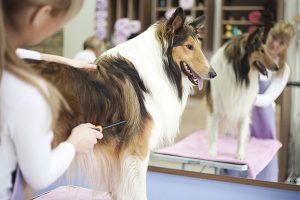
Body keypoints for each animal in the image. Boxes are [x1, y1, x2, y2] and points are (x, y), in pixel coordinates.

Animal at [31, 7, 217, 198]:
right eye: (189, 46)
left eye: (199, 45)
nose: (213, 74)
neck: (159, 66)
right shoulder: (137, 151)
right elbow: (139, 192)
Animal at [206, 27, 278, 160]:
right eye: (261, 50)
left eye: (265, 50)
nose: (277, 67)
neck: (239, 74)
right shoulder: (215, 108)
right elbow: (213, 132)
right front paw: (212, 153)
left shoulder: (243, 108)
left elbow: (241, 135)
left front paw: (240, 154)